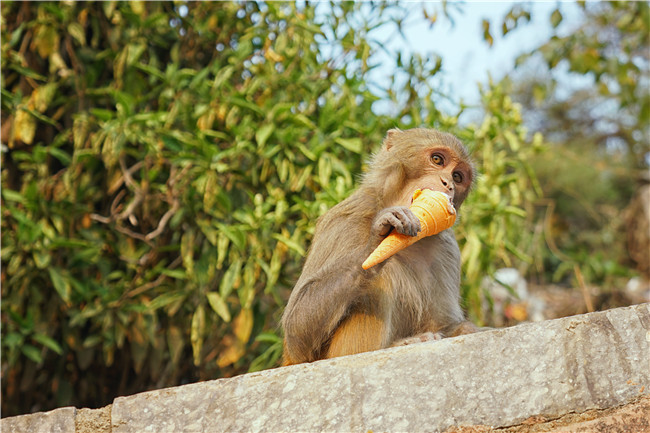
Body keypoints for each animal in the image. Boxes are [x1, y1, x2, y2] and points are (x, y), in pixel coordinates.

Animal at [280, 127, 478, 364]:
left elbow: (446, 324)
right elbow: (297, 332)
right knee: (380, 281)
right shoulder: (344, 222)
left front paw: (465, 329)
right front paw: (376, 242)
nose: (448, 183)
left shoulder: (448, 249)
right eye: (437, 160)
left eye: (458, 177)